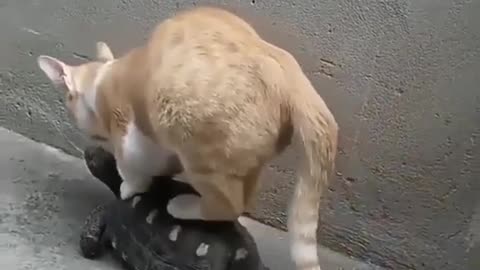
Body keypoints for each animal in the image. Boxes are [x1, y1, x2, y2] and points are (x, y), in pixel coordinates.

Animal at [36, 5, 338, 270]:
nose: (93, 144)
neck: (103, 79)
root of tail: (291, 78)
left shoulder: (130, 138)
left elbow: (132, 173)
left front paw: (128, 187)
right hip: (245, 158)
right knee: (245, 197)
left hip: (193, 140)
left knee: (230, 205)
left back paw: (184, 206)